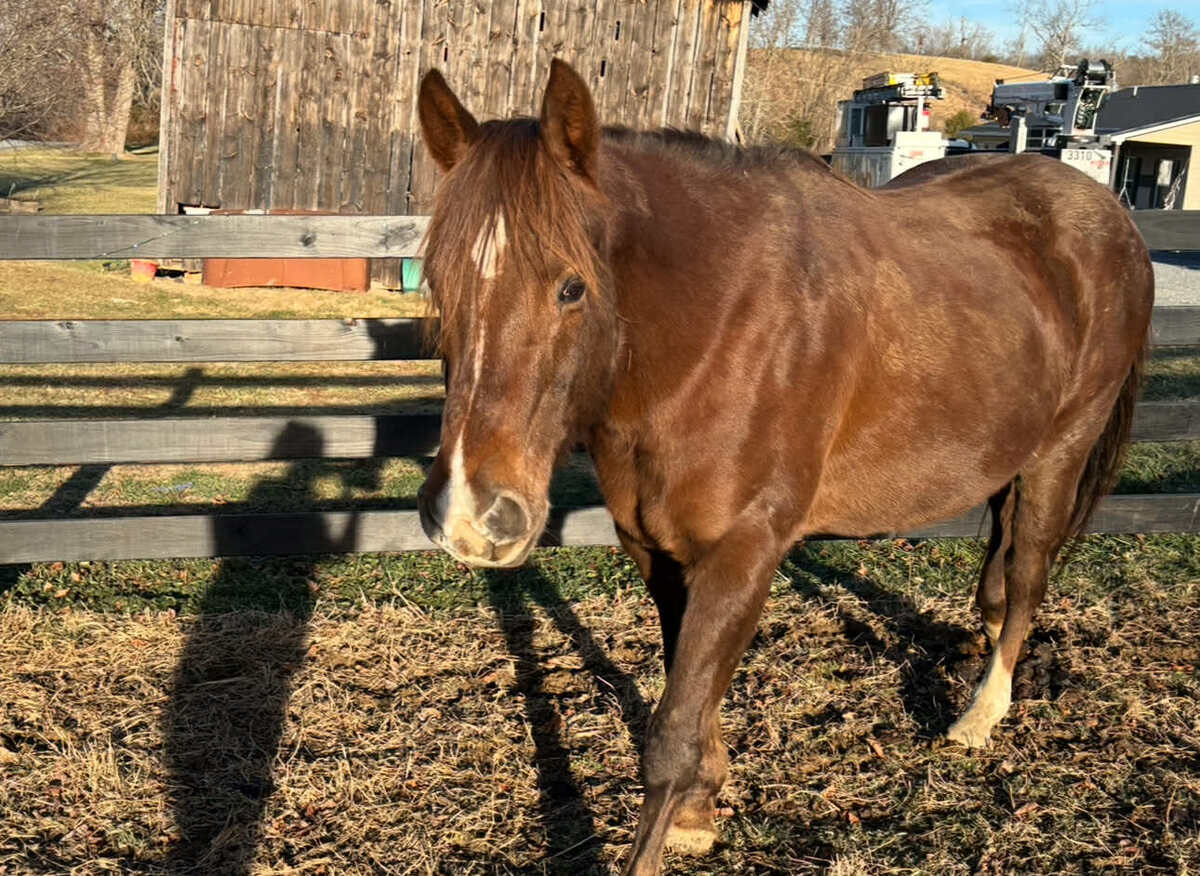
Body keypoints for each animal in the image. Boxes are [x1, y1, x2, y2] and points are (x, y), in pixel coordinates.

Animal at [414, 60, 1153, 875]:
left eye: (571, 286)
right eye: (436, 283)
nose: (469, 516)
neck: (714, 329)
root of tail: (1108, 213)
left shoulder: (745, 551)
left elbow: (672, 733)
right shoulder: (658, 549)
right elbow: (690, 696)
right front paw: (699, 812)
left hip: (1063, 449)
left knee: (1026, 576)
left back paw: (981, 715)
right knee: (1000, 570)